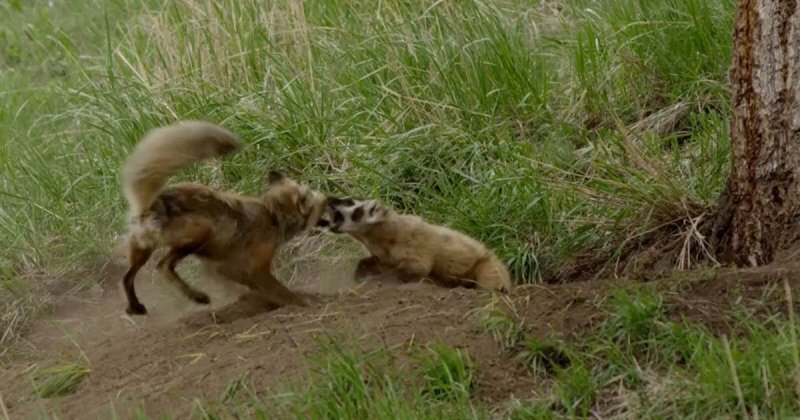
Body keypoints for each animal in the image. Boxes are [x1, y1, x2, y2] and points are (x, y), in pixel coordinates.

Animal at [116, 120, 328, 316]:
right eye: (322, 202)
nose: (333, 199)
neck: (273, 215)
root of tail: (153, 202)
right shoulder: (256, 268)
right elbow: (283, 291)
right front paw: (305, 304)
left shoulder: (228, 267)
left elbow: (256, 288)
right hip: (198, 234)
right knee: (163, 266)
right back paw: (197, 296)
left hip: (142, 252)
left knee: (127, 278)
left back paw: (135, 307)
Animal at [324, 197, 512, 292]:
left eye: (351, 203)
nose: (331, 199)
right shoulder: (384, 256)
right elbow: (374, 263)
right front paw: (360, 274)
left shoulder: (414, 244)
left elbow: (416, 267)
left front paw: (376, 281)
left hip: (489, 268)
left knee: (489, 282)